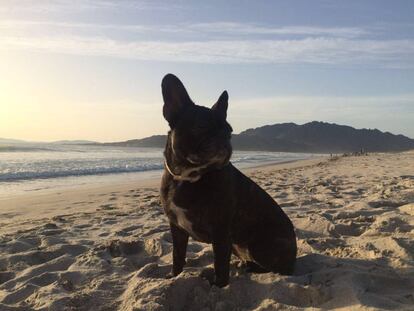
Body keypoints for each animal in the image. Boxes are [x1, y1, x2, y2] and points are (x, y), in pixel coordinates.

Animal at [159, 73, 298, 288]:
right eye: (201, 126)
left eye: (229, 131)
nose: (224, 139)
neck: (188, 177)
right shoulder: (177, 229)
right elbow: (177, 255)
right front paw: (174, 276)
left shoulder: (221, 231)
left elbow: (220, 263)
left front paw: (218, 285)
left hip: (259, 244)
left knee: (277, 268)